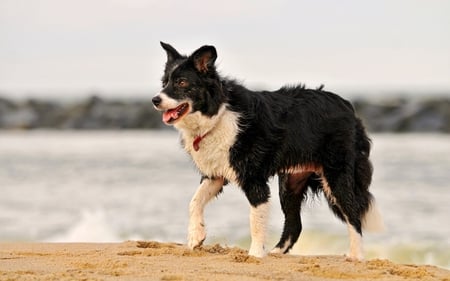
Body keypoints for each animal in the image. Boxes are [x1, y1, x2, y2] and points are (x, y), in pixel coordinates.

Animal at [152, 42, 384, 258]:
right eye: (164, 82)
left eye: (182, 82)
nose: (155, 100)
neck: (218, 114)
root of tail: (348, 107)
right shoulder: (215, 174)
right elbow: (194, 202)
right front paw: (196, 237)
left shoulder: (253, 179)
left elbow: (256, 220)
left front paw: (255, 255)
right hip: (290, 182)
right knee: (295, 223)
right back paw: (277, 252)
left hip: (336, 175)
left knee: (353, 214)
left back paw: (356, 256)